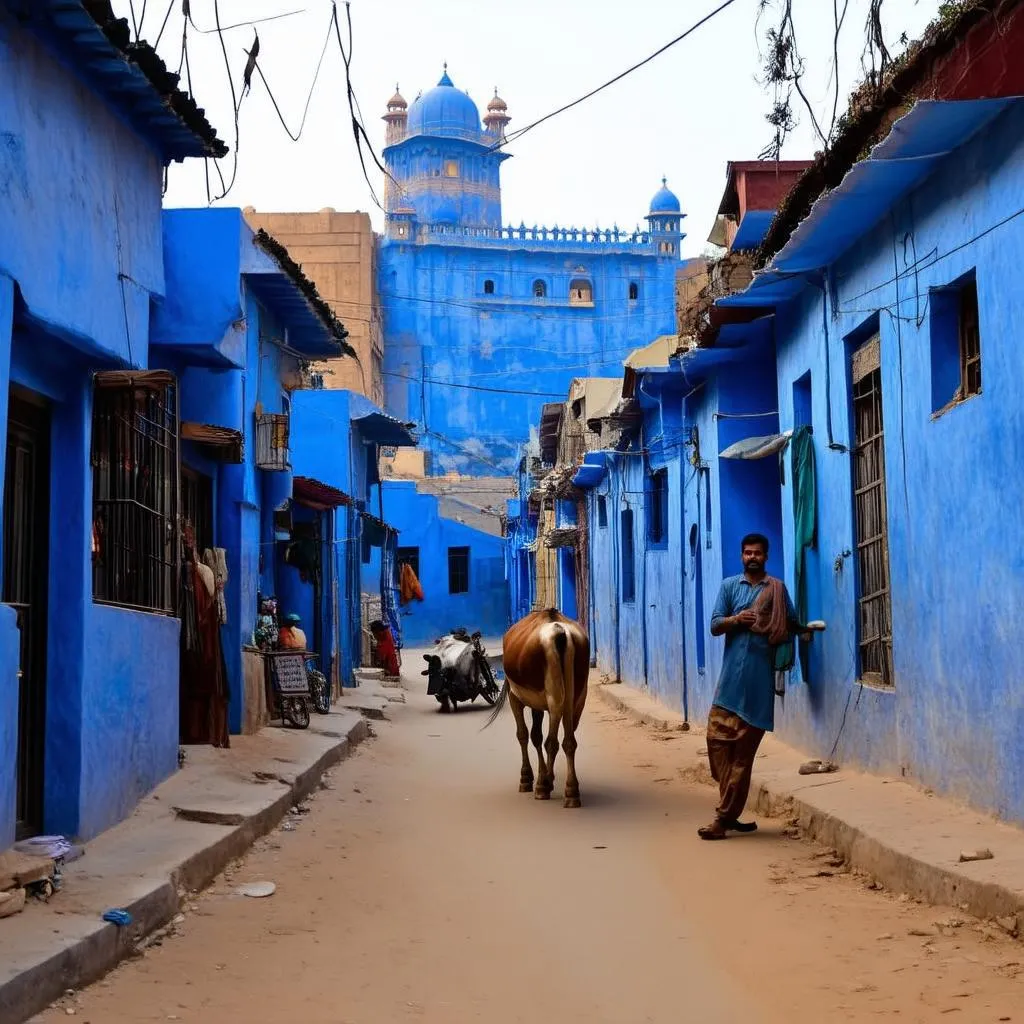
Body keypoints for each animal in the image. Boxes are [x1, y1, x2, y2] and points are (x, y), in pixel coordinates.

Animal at [487, 606, 593, 806]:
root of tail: (559, 632)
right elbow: (537, 735)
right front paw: (546, 777)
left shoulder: (515, 697)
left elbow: (524, 735)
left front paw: (528, 778)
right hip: (574, 694)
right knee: (568, 740)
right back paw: (571, 790)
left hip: (553, 693)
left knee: (551, 741)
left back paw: (544, 787)